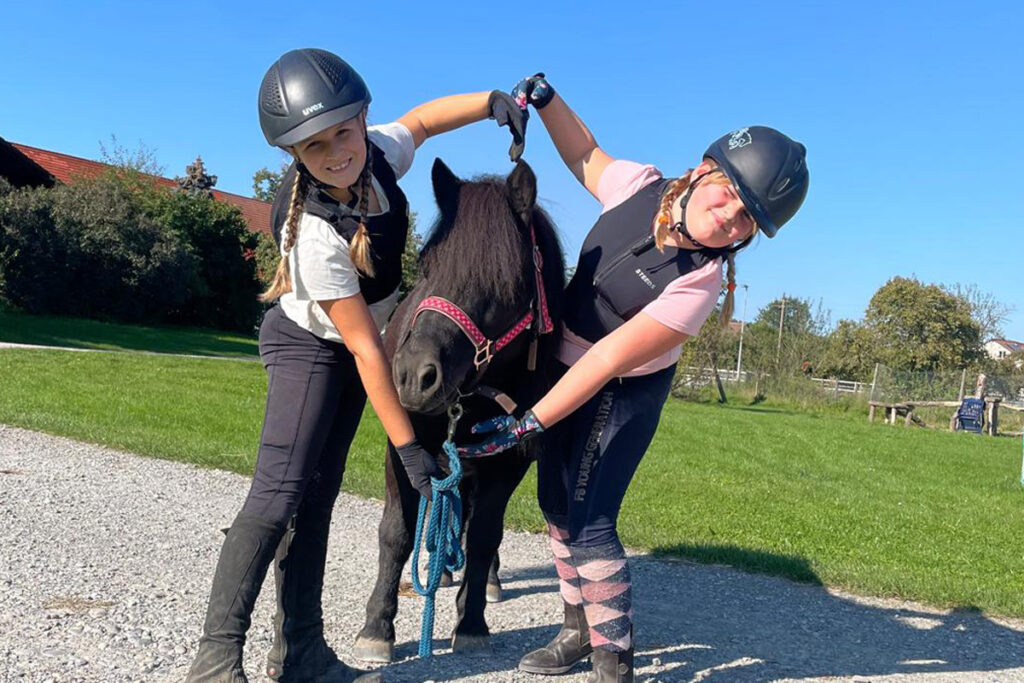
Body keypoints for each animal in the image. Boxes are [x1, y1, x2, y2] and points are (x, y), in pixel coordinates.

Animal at [354, 157, 565, 659]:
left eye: (505, 281)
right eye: (427, 266)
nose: (413, 376)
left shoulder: (507, 463)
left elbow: (485, 533)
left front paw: (471, 621)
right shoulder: (403, 451)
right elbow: (397, 531)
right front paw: (377, 627)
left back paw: (484, 581)